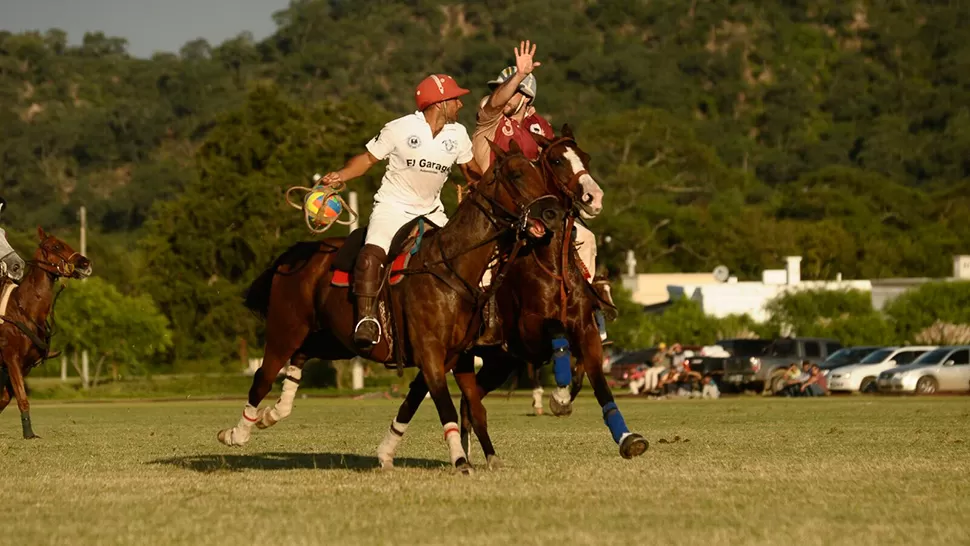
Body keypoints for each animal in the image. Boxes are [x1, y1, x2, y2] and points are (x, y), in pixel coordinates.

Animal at [0, 227, 92, 436]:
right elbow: (21, 398)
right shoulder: (11, 358)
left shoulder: (24, 365)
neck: (22, 309)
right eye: (56, 246)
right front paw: (29, 434)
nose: (85, 263)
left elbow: (6, 398)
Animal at [217, 139, 568, 468]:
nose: (554, 212)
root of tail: (296, 253)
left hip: (335, 339)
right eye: (517, 175)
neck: (450, 268)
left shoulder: (459, 356)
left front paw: (487, 459)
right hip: (286, 328)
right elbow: (444, 404)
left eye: (540, 174)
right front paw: (459, 461)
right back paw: (237, 432)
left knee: (301, 356)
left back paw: (273, 413)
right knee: (263, 376)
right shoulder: (430, 352)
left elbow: (459, 405)